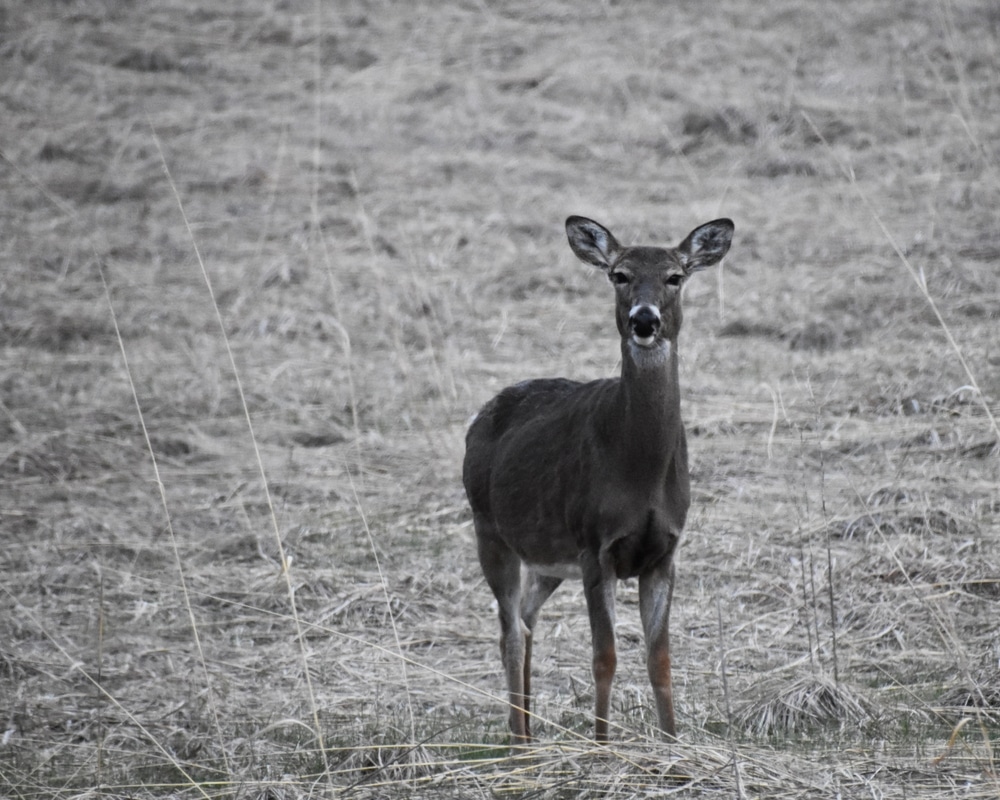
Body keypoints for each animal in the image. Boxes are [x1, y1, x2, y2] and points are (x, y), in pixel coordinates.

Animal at [462, 214, 734, 743]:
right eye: (619, 275)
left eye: (675, 276)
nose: (644, 320)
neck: (639, 471)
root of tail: (482, 415)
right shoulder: (594, 546)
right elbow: (604, 657)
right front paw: (603, 746)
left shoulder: (664, 552)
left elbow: (660, 660)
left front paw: (672, 743)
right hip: (489, 529)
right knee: (509, 632)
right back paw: (519, 741)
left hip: (547, 556)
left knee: (527, 617)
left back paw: (531, 729)